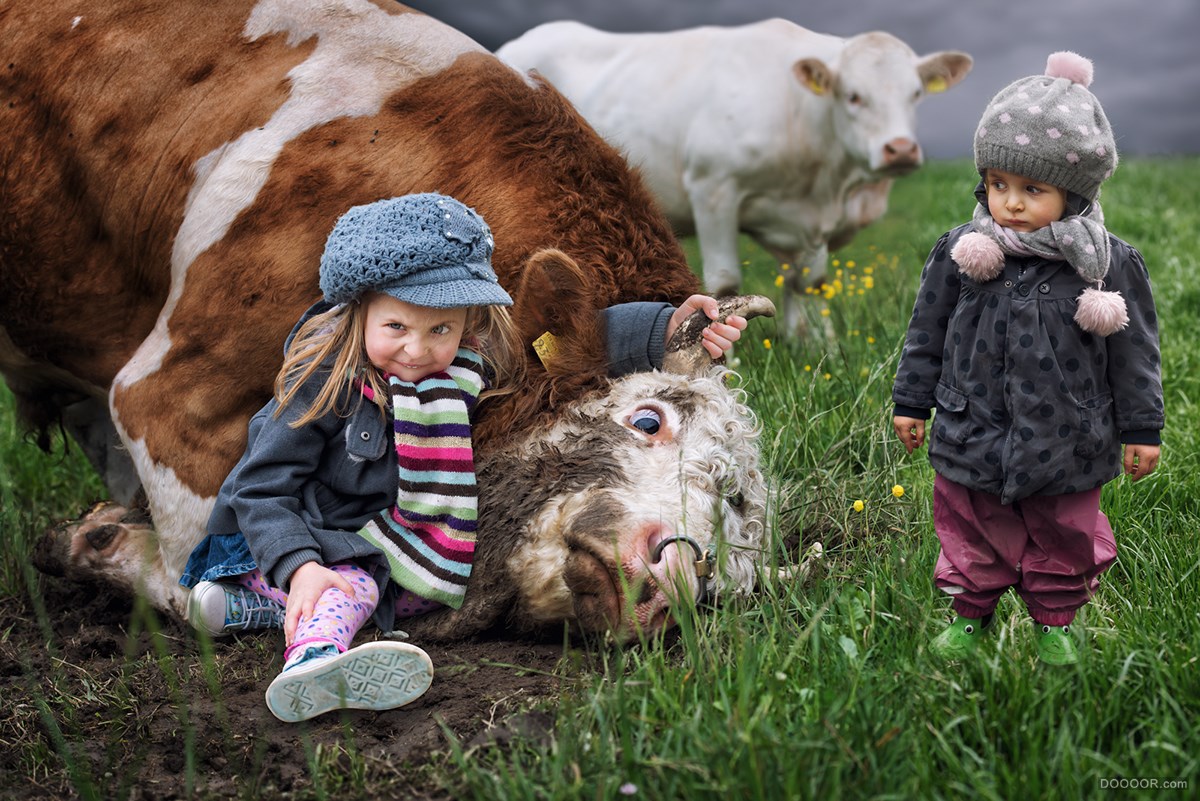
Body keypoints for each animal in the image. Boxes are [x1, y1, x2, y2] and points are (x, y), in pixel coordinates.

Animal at [0, 0, 777, 637]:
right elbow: (207, 586)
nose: (673, 577)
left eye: (723, 570)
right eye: (647, 419)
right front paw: (91, 541)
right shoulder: (167, 397)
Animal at [496, 21, 974, 335]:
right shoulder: (714, 189)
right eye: (854, 96)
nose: (901, 149)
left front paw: (814, 346)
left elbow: (809, 283)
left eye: (915, 94)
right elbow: (725, 283)